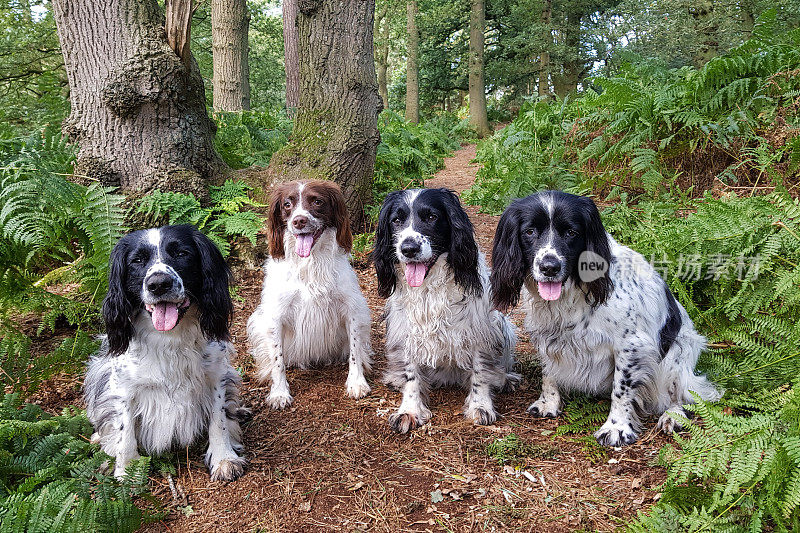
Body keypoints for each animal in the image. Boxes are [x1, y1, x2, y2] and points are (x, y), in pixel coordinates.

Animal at [84, 222, 247, 480]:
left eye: (181, 253)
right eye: (137, 260)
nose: (158, 284)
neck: (170, 336)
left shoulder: (216, 375)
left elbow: (218, 420)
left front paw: (224, 458)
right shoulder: (123, 385)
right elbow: (124, 429)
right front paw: (127, 471)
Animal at [248, 179, 374, 408]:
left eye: (317, 201)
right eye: (287, 204)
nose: (299, 221)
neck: (310, 263)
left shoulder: (353, 310)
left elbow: (355, 352)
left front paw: (356, 382)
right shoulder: (275, 317)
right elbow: (277, 361)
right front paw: (279, 392)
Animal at [376, 187, 520, 432]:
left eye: (431, 217)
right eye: (396, 220)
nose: (408, 248)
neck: (429, 287)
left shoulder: (481, 329)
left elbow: (481, 371)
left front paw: (480, 406)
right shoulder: (406, 330)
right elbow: (411, 374)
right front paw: (410, 410)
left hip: (503, 326)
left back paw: (504, 379)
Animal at [490, 190, 720, 444]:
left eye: (571, 232)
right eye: (530, 231)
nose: (549, 267)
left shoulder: (631, 345)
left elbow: (621, 390)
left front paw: (616, 427)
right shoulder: (548, 335)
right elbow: (548, 372)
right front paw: (548, 403)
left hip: (676, 357)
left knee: (689, 395)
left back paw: (673, 415)